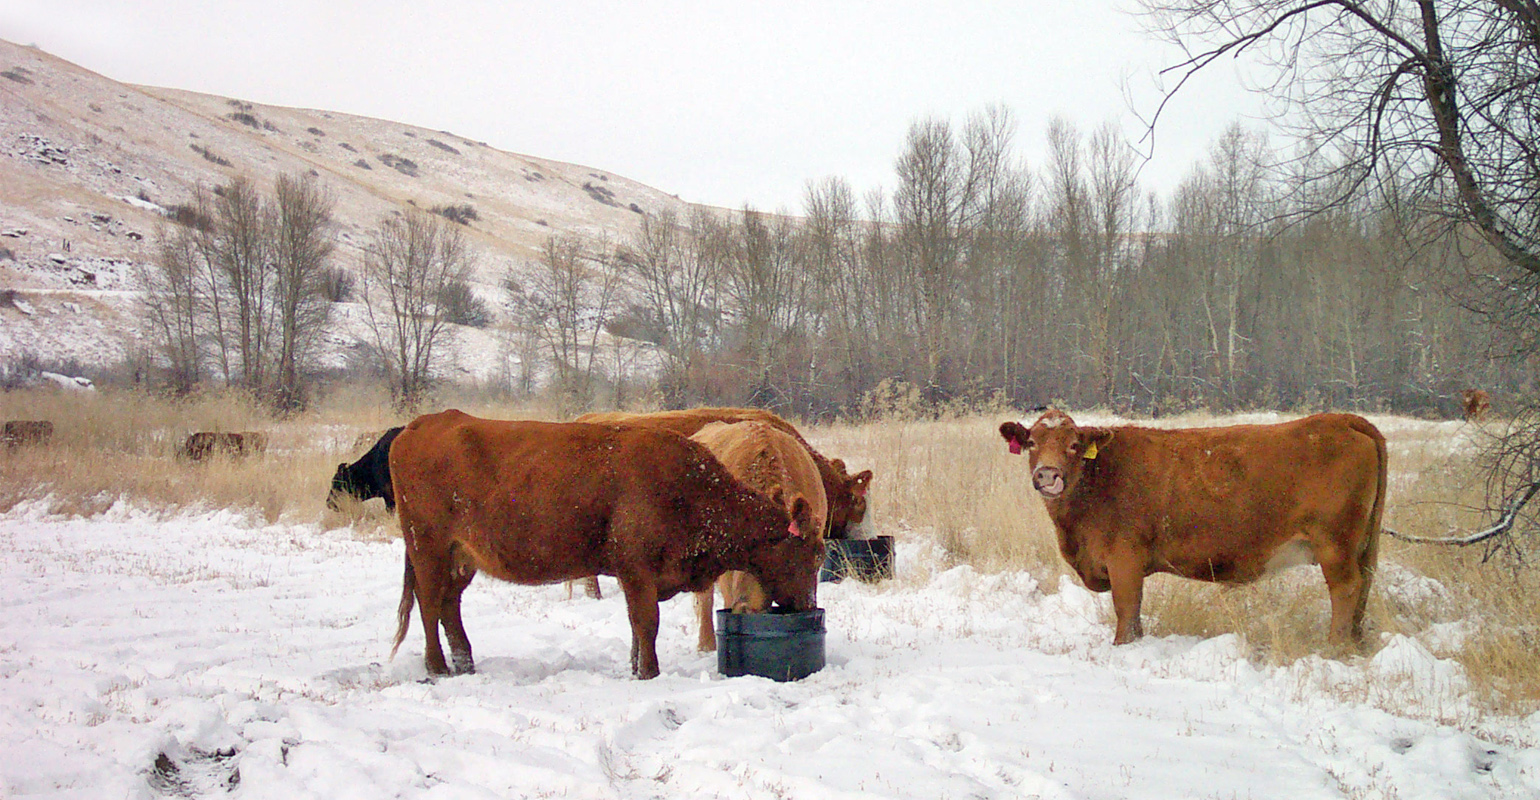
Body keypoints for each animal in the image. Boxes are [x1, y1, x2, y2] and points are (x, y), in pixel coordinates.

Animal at [997, 410, 1386, 647]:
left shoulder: (1124, 559)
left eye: (1074, 445)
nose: (1047, 475)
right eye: (1031, 443)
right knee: (1364, 584)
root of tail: (1340, 420)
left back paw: (1334, 646)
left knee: (1346, 589)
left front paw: (1122, 647)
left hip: (1334, 544)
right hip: (1358, 546)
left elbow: (1127, 608)